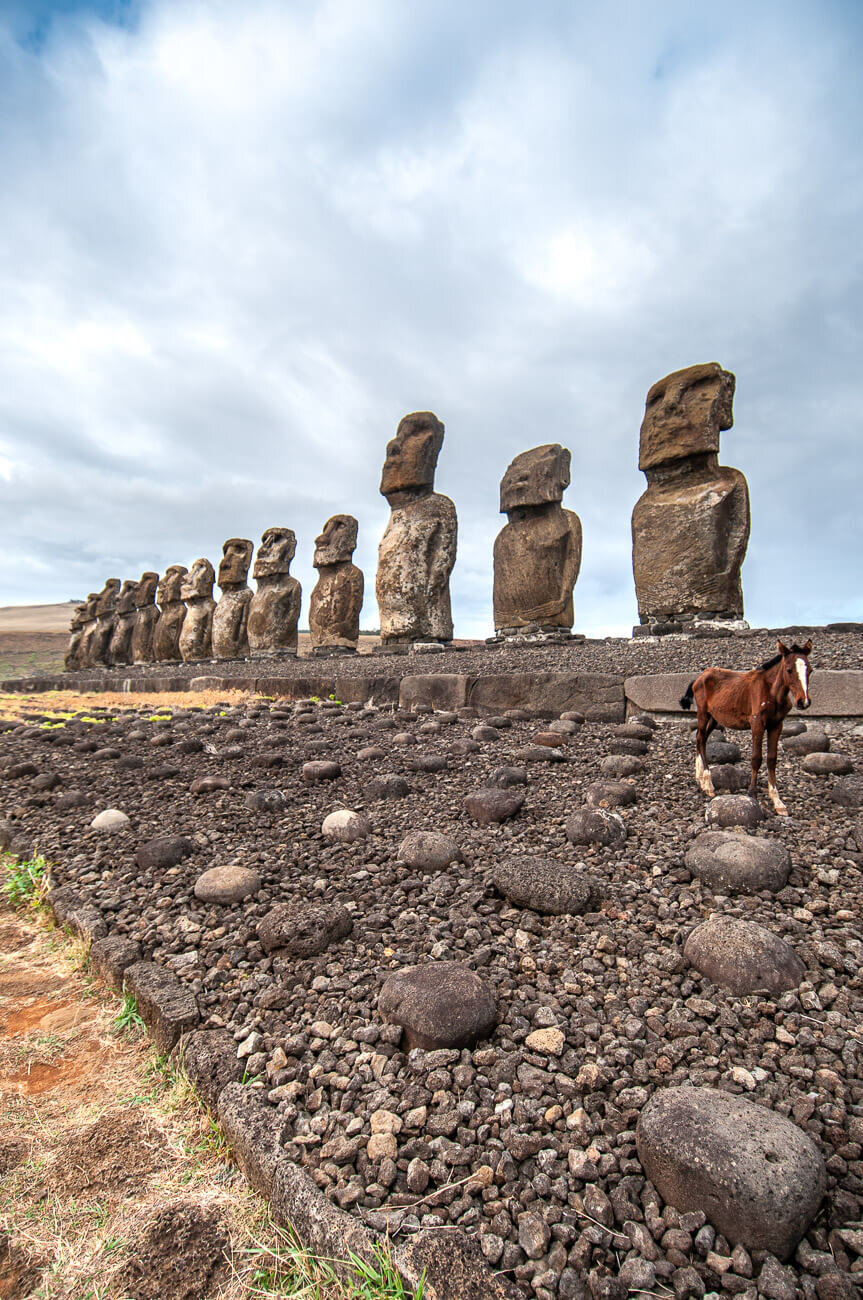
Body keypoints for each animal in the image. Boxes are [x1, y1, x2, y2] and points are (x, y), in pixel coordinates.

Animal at [675, 639, 811, 811]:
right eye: (789, 670)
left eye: (810, 670)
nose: (803, 702)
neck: (771, 692)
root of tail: (699, 677)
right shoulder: (757, 723)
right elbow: (756, 758)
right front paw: (752, 793)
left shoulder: (776, 725)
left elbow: (772, 759)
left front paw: (777, 801)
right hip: (703, 713)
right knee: (699, 737)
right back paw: (708, 784)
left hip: (715, 717)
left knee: (702, 739)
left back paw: (700, 778)